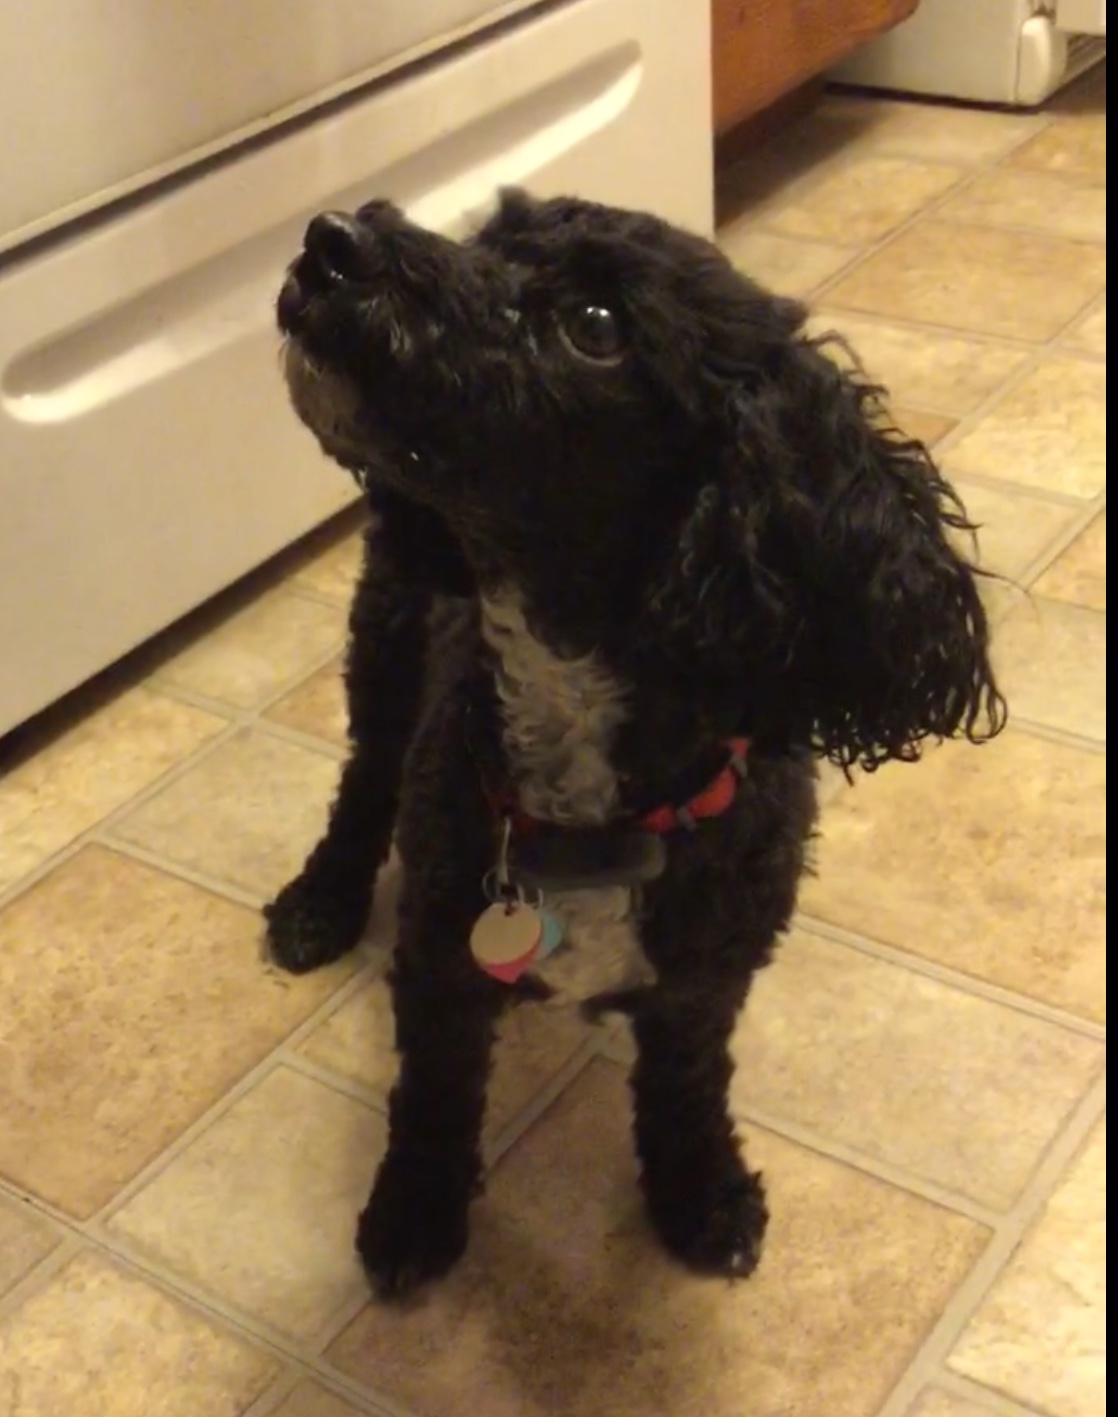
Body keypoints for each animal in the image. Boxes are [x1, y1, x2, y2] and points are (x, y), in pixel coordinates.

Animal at [266, 190, 1005, 1298]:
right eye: (489, 235)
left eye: (596, 325)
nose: (332, 240)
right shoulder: (440, 956)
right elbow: (434, 1094)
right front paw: (414, 1210)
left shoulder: (706, 977)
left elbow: (687, 1088)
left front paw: (701, 1194)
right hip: (390, 640)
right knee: (362, 782)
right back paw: (319, 902)